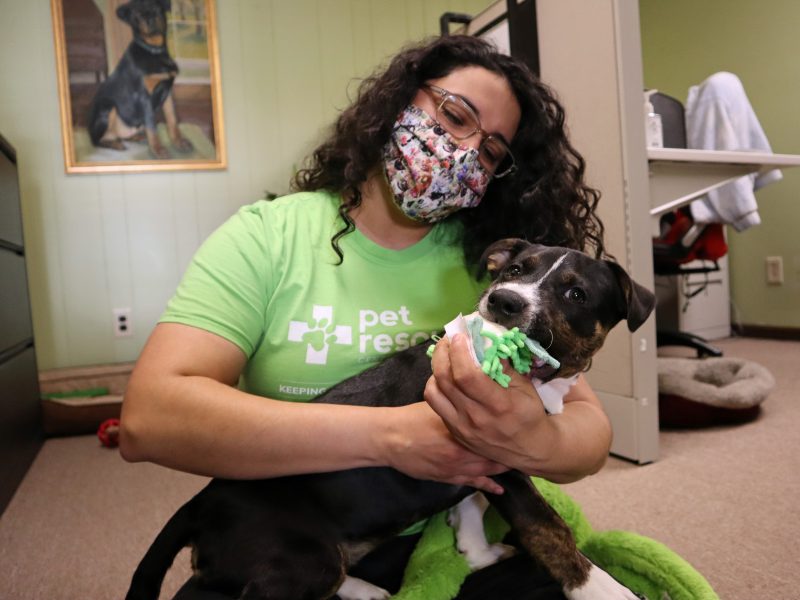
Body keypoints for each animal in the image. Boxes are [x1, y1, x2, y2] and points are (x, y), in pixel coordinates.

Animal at [87, 0, 192, 158]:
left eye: (156, 6)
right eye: (136, 13)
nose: (150, 19)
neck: (153, 50)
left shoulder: (167, 93)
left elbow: (172, 120)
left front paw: (179, 142)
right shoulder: (144, 96)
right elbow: (152, 126)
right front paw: (158, 150)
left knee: (122, 135)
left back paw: (136, 137)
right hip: (107, 107)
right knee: (97, 140)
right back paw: (115, 144)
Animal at [123, 239, 648, 600]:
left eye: (576, 293)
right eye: (515, 270)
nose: (503, 300)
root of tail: (201, 504)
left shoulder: (481, 461)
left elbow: (472, 504)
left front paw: (474, 551)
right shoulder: (502, 457)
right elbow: (548, 527)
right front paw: (600, 588)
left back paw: (366, 589)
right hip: (298, 559)